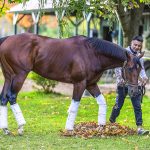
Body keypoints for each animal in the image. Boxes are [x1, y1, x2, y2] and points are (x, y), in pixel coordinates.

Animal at [0, 33, 144, 135]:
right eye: (129, 68)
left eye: (140, 69)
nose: (134, 92)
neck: (92, 53)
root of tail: (7, 39)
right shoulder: (80, 83)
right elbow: (75, 105)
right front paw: (69, 129)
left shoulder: (91, 84)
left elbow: (102, 102)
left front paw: (101, 127)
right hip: (20, 75)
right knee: (11, 97)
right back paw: (20, 127)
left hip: (8, 77)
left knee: (3, 98)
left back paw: (6, 129)